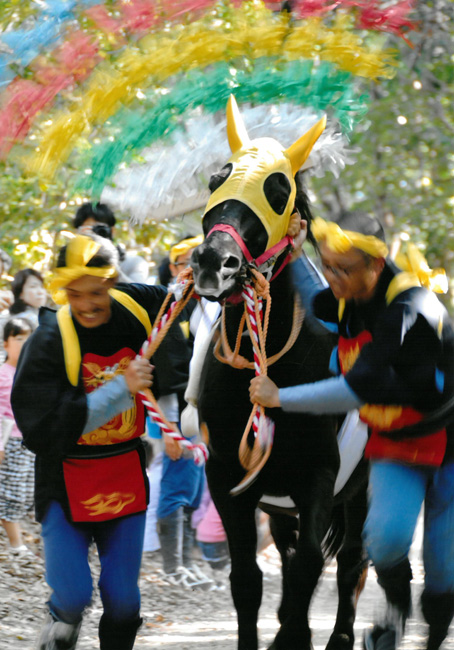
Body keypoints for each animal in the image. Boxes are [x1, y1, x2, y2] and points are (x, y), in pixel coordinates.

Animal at [190, 96, 368, 650]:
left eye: (278, 190)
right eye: (216, 179)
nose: (214, 261)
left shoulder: (320, 475)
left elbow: (312, 564)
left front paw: (293, 635)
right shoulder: (229, 476)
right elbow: (250, 578)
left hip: (364, 487)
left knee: (352, 562)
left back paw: (339, 636)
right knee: (294, 559)